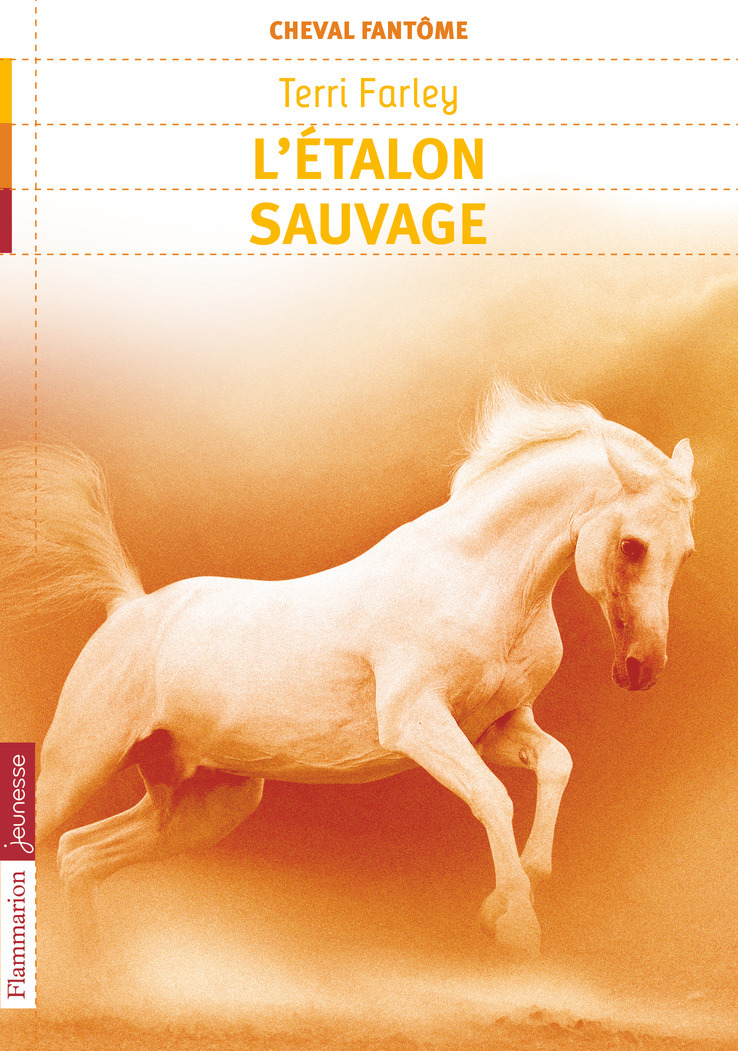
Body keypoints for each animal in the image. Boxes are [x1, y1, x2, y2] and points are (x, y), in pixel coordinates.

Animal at [2, 385, 696, 961]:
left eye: (685, 551)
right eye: (633, 545)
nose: (642, 669)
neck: (478, 578)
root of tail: (128, 608)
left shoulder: (493, 727)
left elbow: (556, 763)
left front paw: (524, 882)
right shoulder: (416, 722)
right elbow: (492, 796)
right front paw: (515, 924)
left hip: (201, 803)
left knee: (80, 857)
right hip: (77, 765)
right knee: (53, 841)